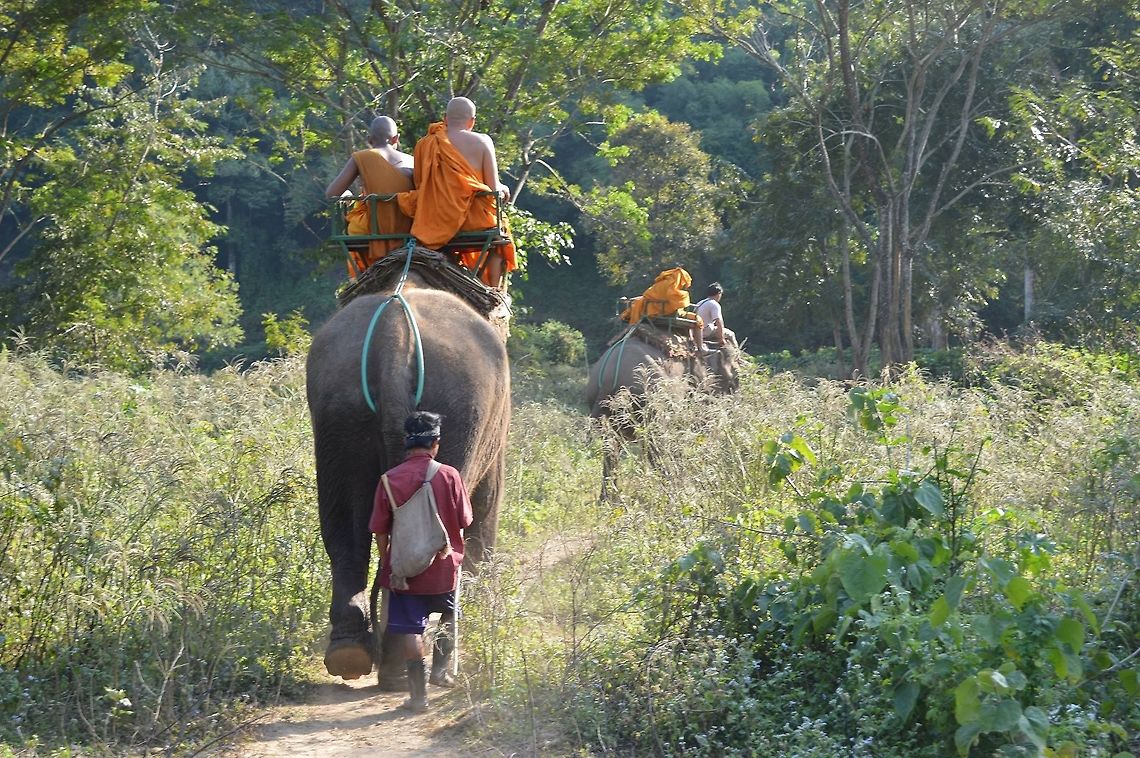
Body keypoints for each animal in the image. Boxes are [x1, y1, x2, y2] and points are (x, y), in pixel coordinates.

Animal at [306, 254, 510, 688]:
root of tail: (393, 335)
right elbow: (484, 512)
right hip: (461, 404)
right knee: (450, 537)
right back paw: (413, 667)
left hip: (338, 410)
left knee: (344, 529)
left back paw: (355, 655)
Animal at [585, 326, 741, 500]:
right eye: (734, 381)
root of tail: (609, 379)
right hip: (650, 402)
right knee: (656, 446)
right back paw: (672, 493)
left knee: (611, 447)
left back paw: (608, 500)